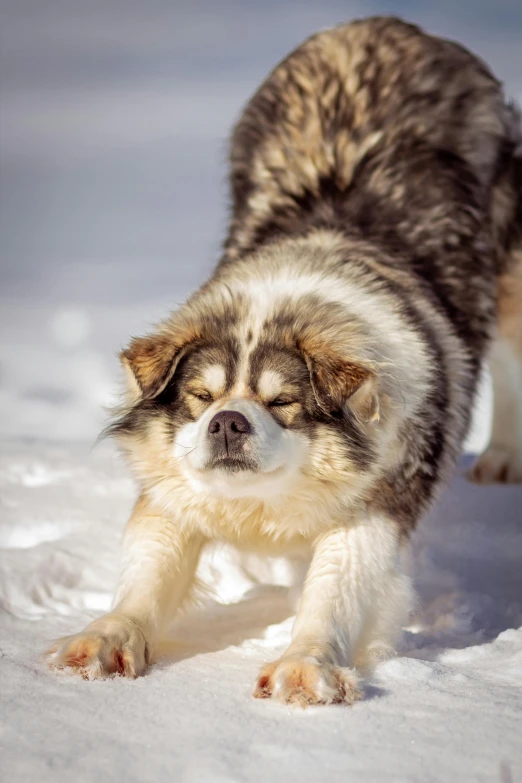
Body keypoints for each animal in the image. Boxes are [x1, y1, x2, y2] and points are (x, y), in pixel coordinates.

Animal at [44, 16, 520, 704]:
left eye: (283, 402)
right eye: (201, 397)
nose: (228, 423)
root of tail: (383, 24)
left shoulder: (376, 502)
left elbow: (336, 588)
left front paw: (306, 665)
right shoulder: (172, 488)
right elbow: (147, 573)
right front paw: (105, 639)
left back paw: (505, 455)